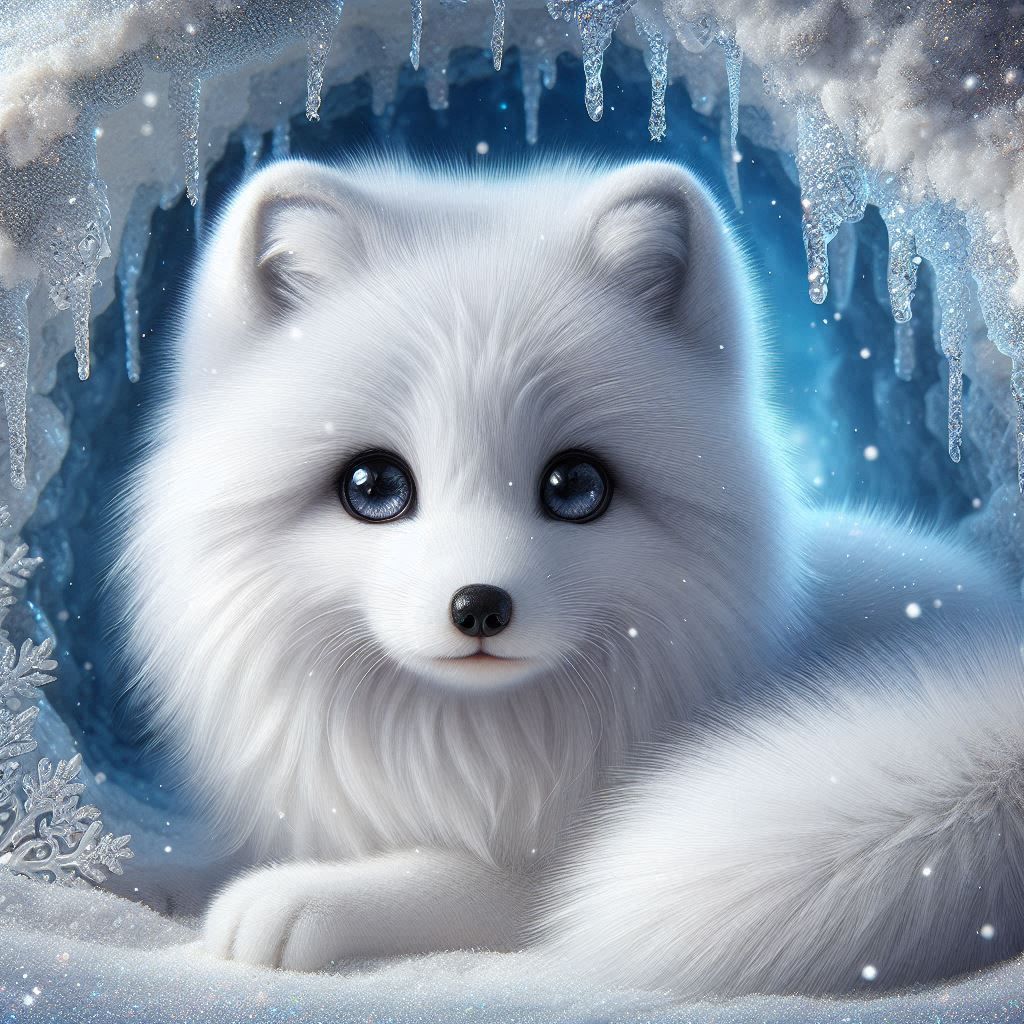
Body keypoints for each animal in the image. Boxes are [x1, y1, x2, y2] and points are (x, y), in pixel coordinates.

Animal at [119, 157, 1024, 996]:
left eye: (575, 486)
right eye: (373, 487)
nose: (480, 607)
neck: (472, 748)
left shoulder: (533, 872)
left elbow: (483, 883)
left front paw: (294, 896)